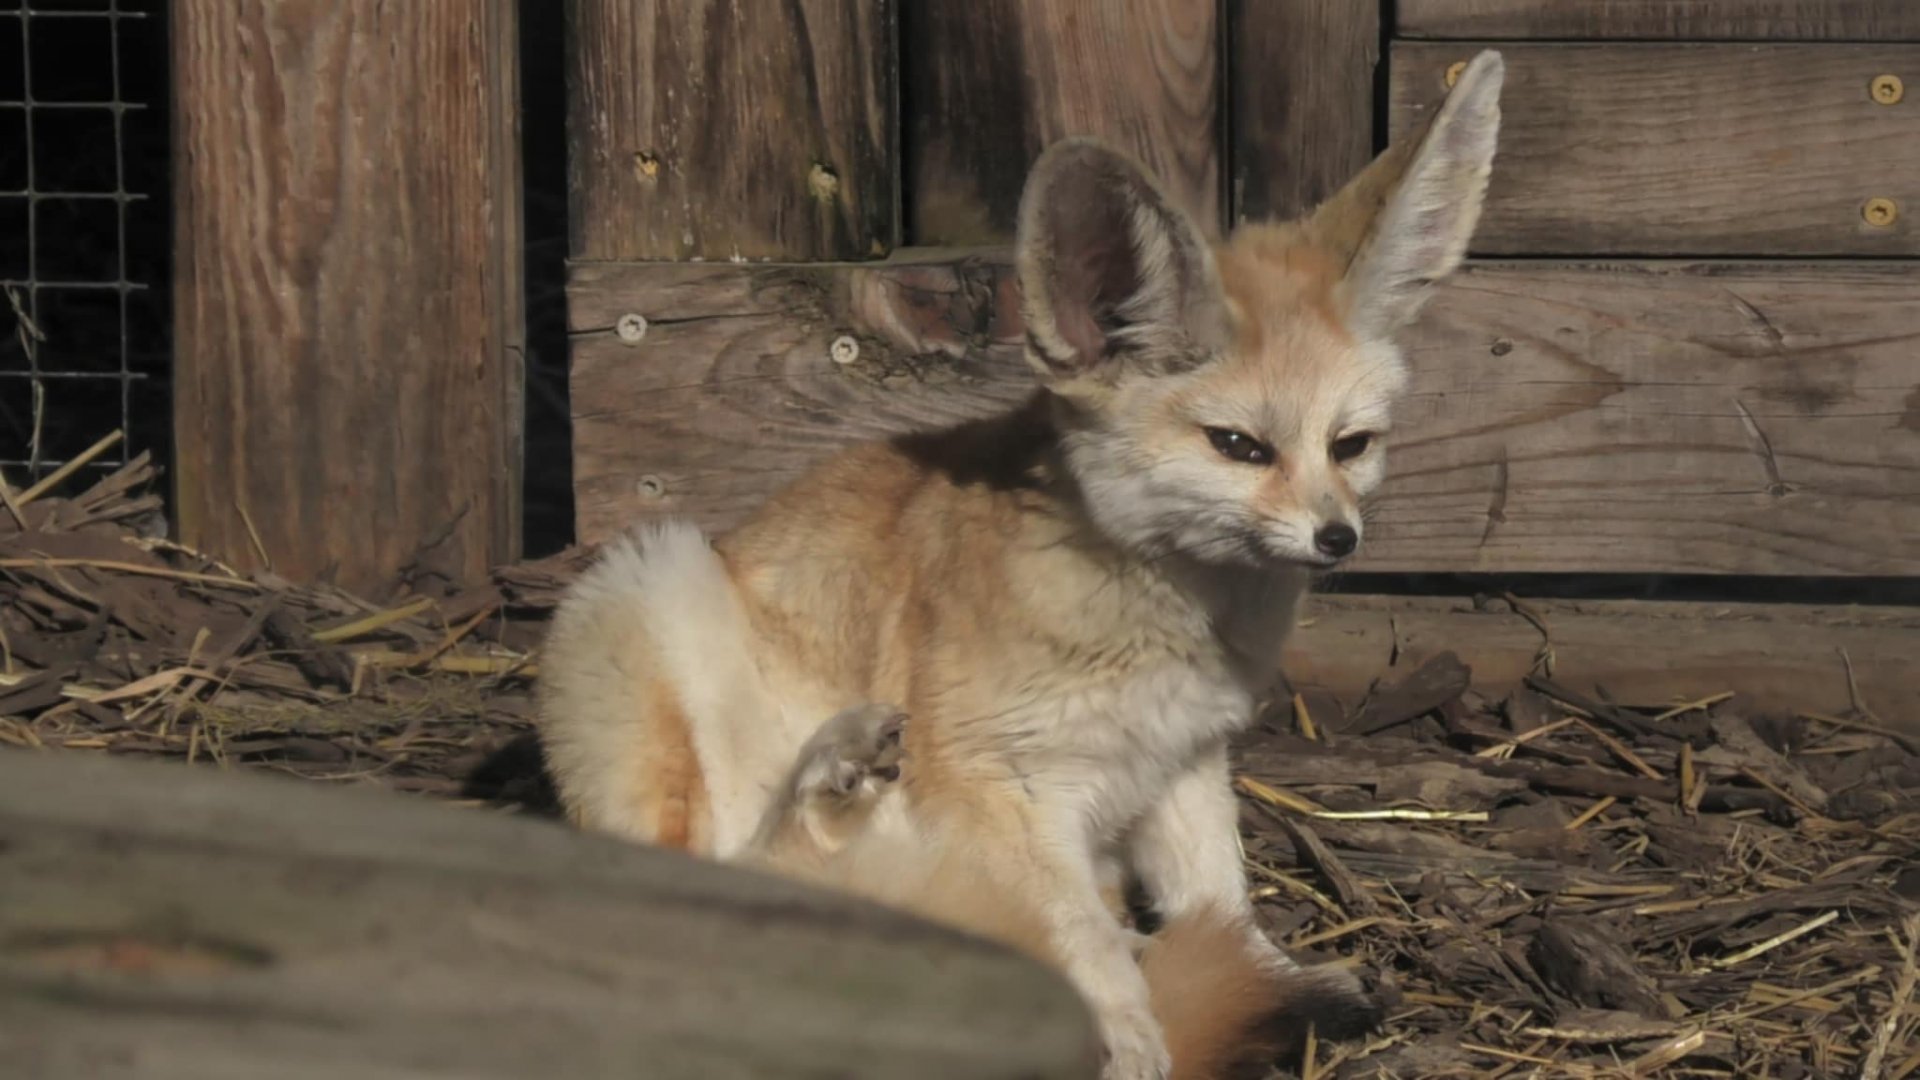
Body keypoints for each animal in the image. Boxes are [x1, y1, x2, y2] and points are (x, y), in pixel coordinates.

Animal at [537, 49, 1504, 1080]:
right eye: (1240, 447)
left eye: (1350, 445)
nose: (1338, 539)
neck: (1162, 629)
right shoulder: (1000, 788)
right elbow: (1082, 939)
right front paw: (1130, 1031)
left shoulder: (1184, 763)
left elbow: (1220, 903)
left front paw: (1268, 976)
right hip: (644, 586)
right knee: (737, 879)